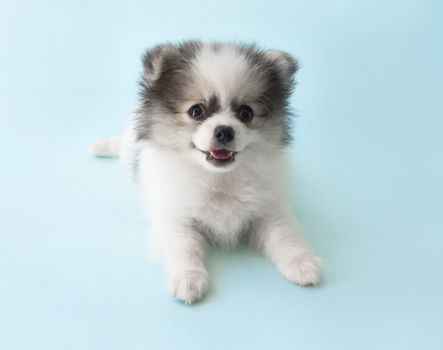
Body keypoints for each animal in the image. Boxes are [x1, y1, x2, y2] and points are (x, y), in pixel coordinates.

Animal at [92, 40, 324, 304]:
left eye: (246, 113)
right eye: (196, 111)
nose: (224, 131)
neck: (219, 178)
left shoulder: (269, 210)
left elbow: (286, 236)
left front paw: (303, 263)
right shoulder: (176, 217)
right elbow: (184, 247)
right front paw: (188, 279)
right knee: (120, 144)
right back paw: (102, 146)